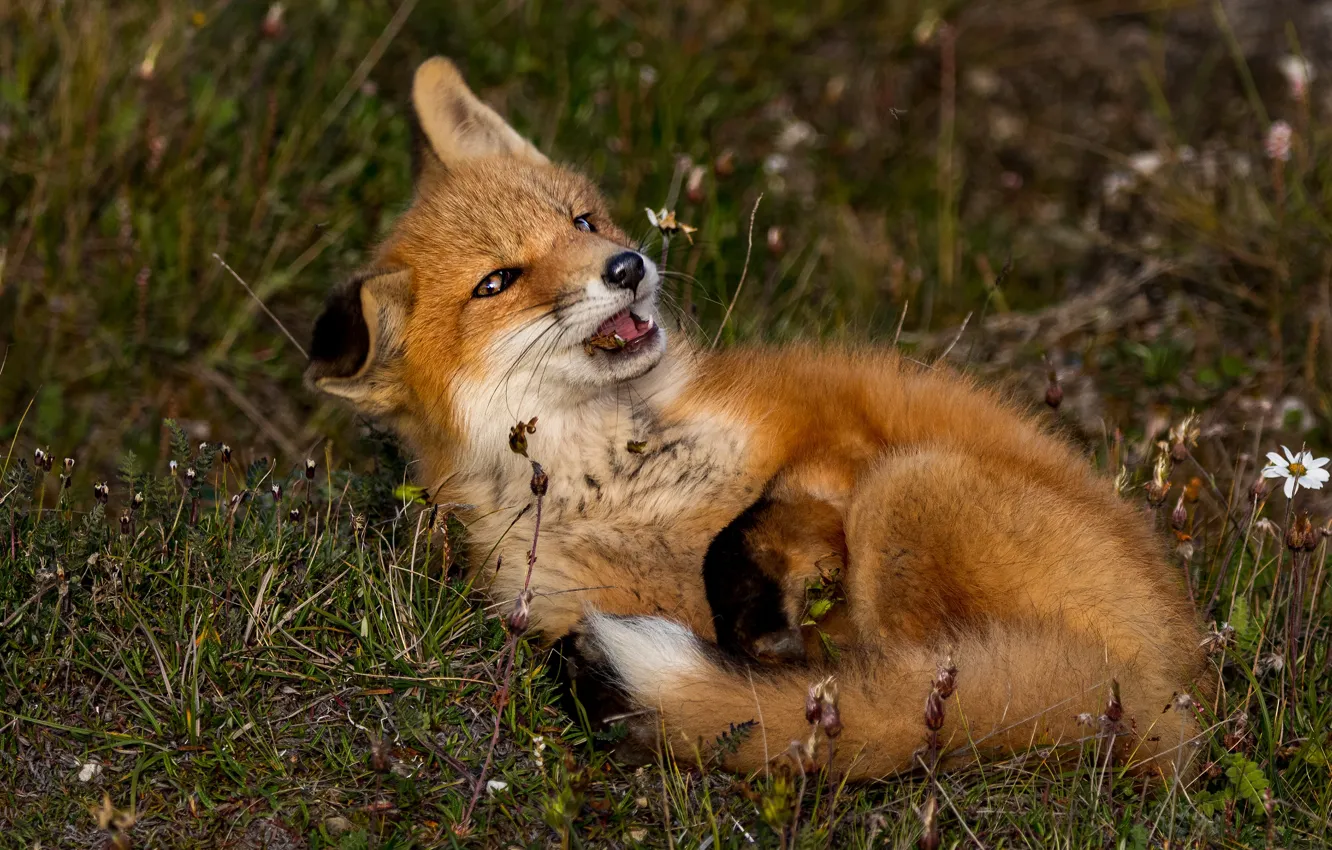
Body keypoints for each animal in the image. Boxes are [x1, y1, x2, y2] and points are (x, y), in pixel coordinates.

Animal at [306, 56, 1210, 780]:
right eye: (497, 283)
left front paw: (760, 627)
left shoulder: (826, 438)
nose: (627, 266)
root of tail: (1166, 694)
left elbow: (744, 531)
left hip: (907, 486)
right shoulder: (559, 603)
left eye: (581, 222)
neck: (628, 487)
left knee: (926, 681)